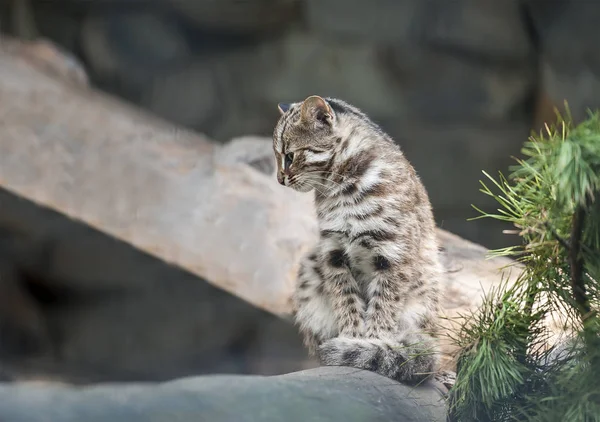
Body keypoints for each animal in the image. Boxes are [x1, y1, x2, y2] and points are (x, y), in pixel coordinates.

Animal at [272, 95, 440, 382]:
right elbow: (345, 298)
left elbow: (384, 302)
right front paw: (352, 337)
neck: (342, 187)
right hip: (309, 270)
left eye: (290, 155)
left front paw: (372, 341)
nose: (280, 180)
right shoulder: (333, 251)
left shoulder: (393, 252)